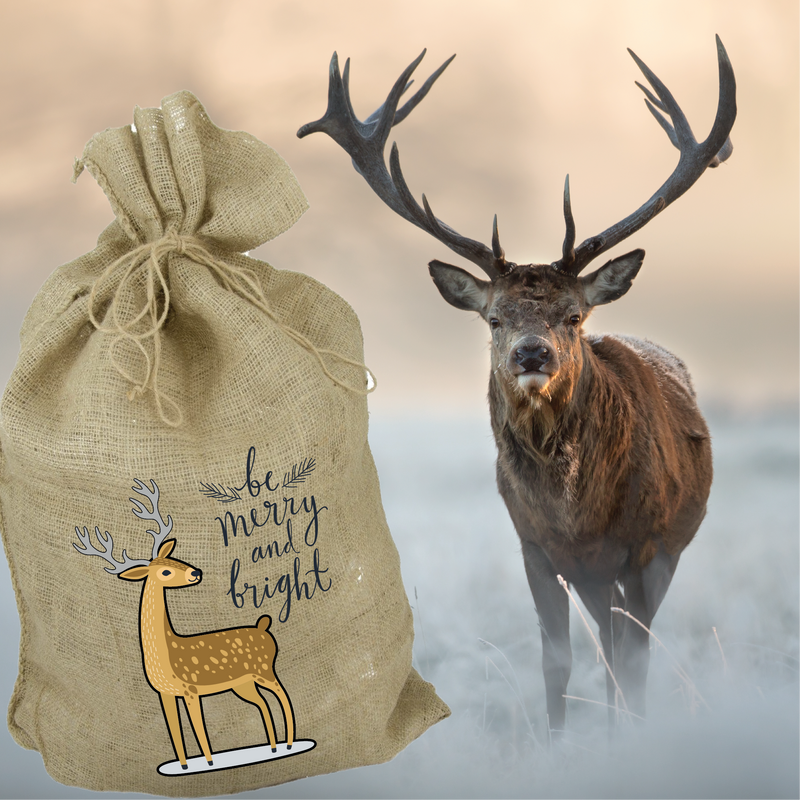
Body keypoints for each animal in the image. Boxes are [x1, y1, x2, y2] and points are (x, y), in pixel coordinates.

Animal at [74, 479, 295, 769]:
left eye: (173, 558)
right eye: (165, 570)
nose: (196, 572)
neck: (167, 652)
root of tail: (263, 626)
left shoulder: (191, 688)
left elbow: (198, 728)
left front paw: (210, 763)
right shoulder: (165, 694)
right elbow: (176, 730)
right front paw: (184, 766)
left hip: (264, 669)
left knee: (283, 696)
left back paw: (289, 744)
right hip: (243, 683)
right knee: (263, 704)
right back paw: (273, 748)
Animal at [297, 36, 735, 736]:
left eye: (574, 316)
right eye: (495, 317)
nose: (533, 352)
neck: (578, 516)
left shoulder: (647, 546)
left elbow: (634, 662)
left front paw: (632, 742)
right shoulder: (534, 546)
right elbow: (556, 661)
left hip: (663, 550)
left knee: (623, 649)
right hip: (594, 577)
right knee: (605, 644)